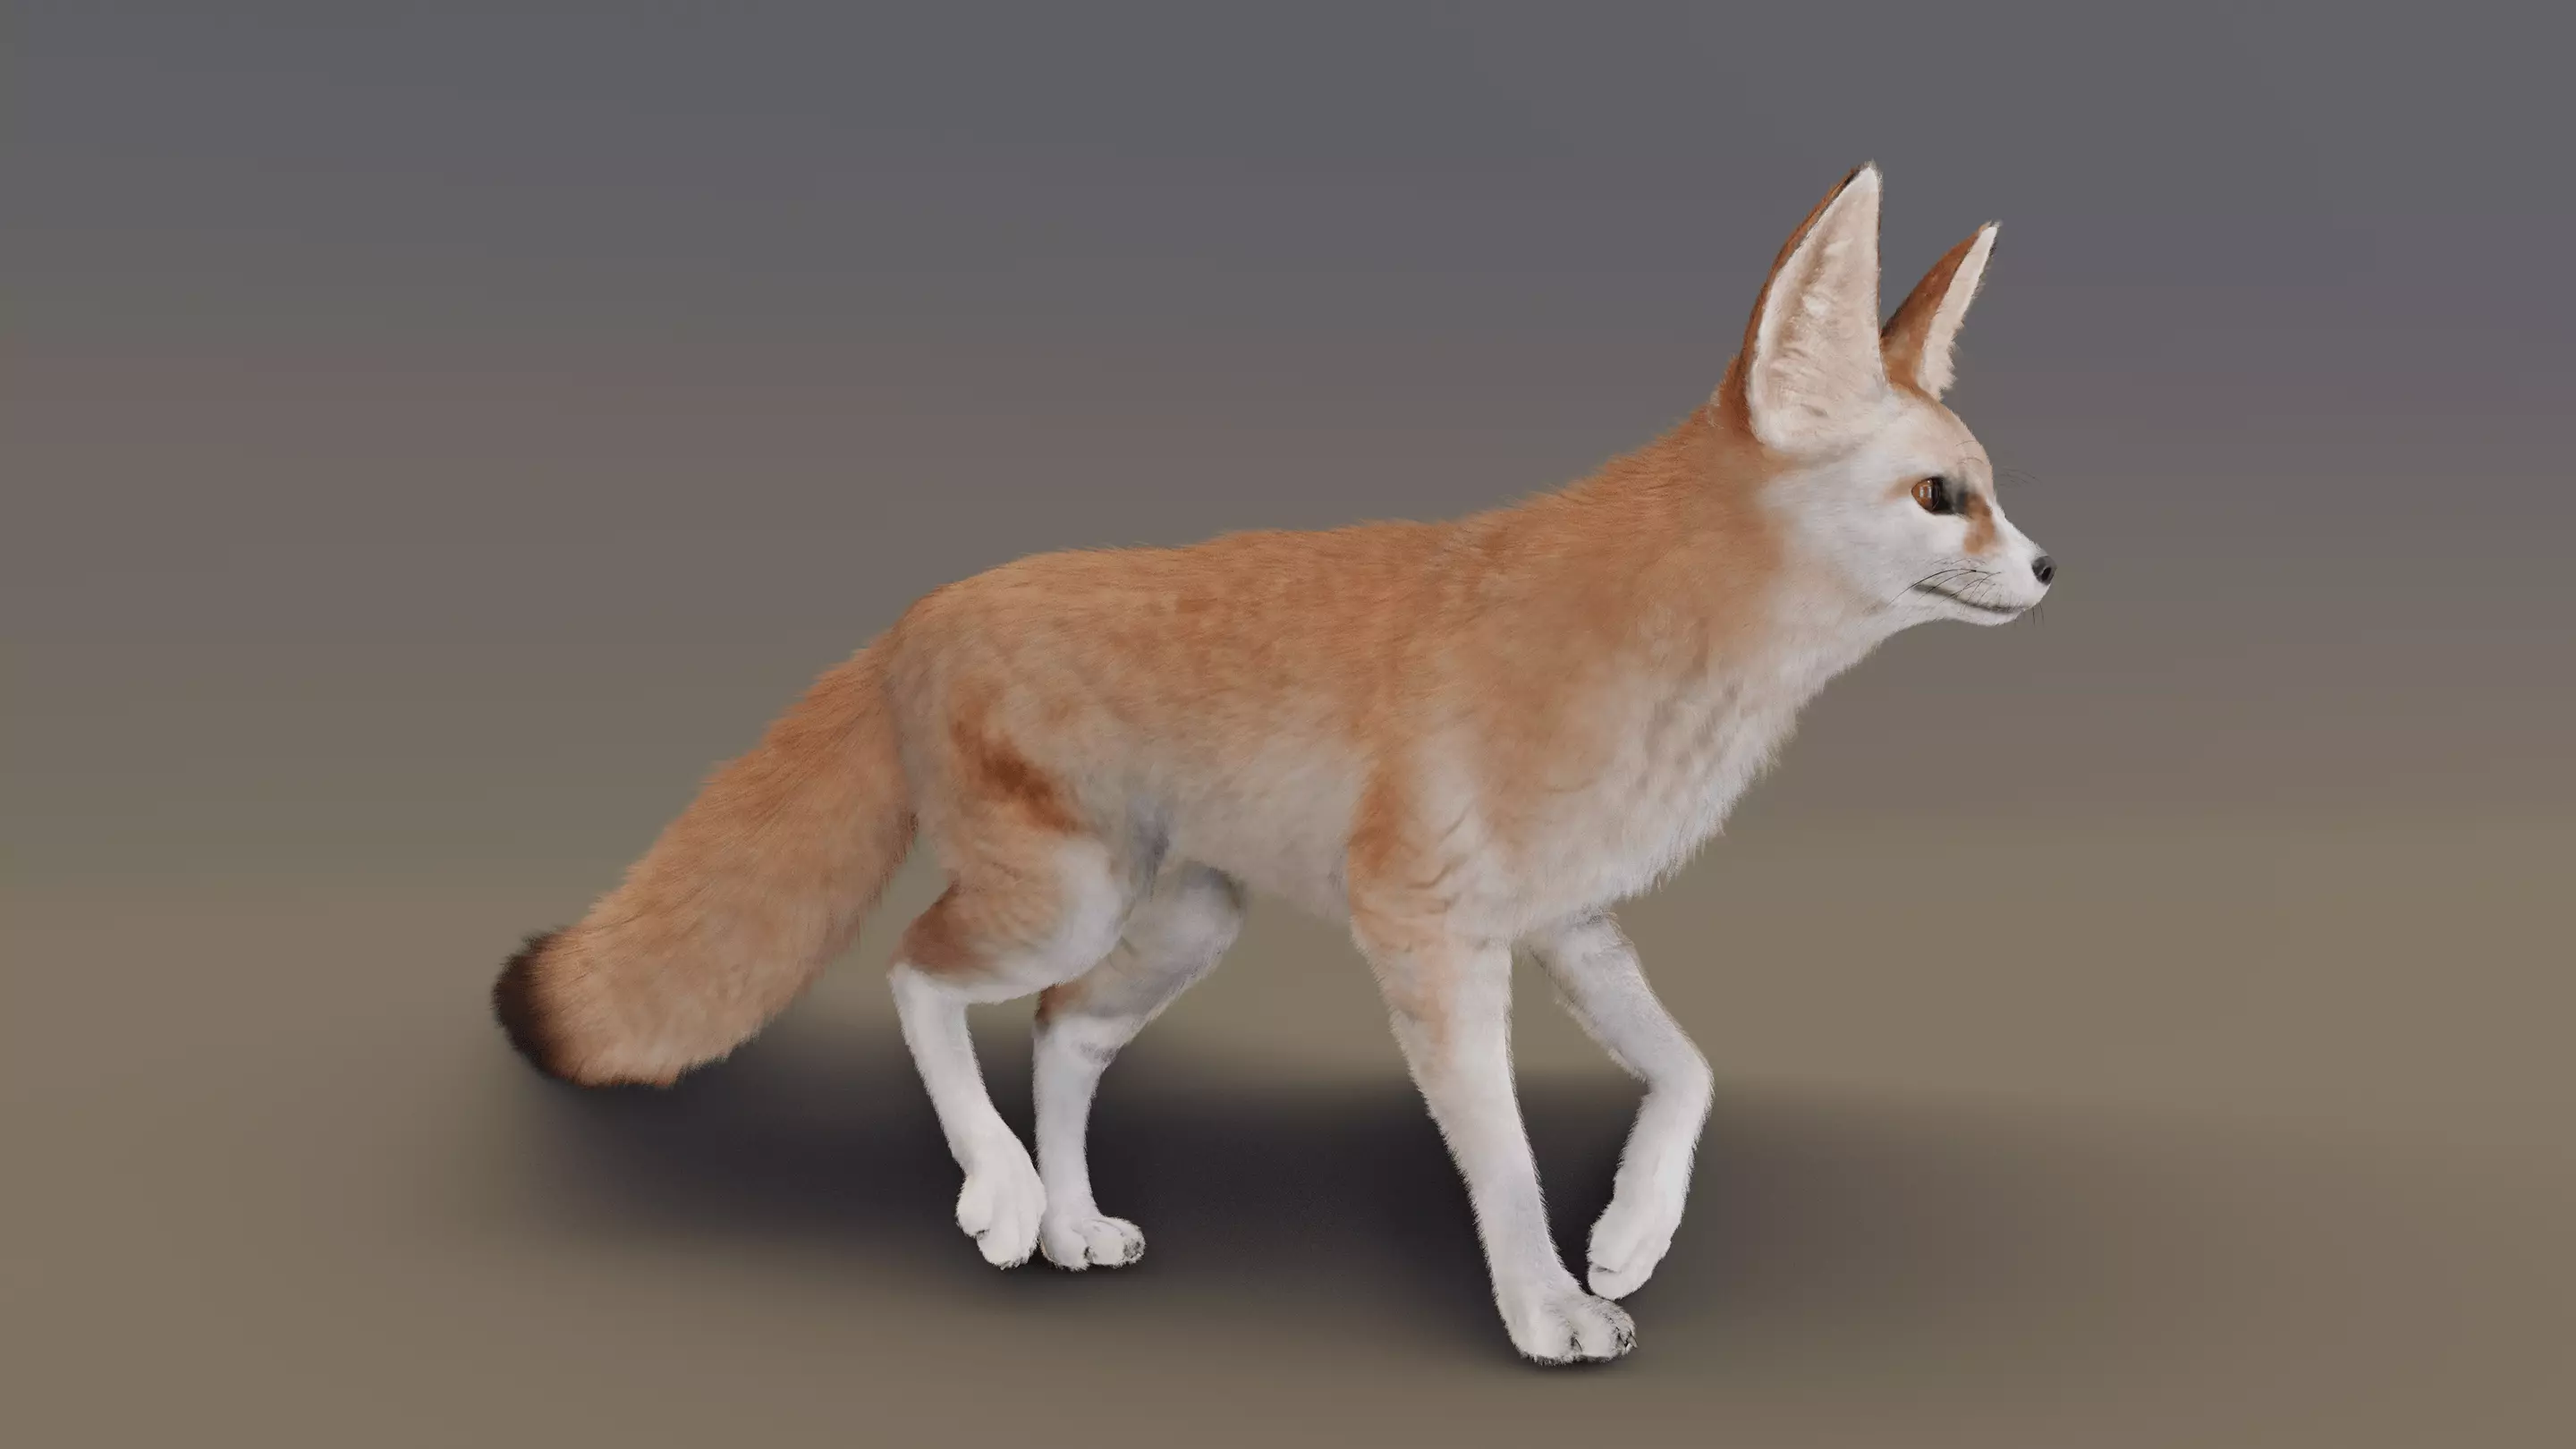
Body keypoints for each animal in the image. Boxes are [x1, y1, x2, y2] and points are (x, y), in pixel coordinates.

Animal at [492, 163, 2054, 1363]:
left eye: (1991, 493)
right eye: (1944, 497)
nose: (2050, 566)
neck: (1654, 643)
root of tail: (911, 616)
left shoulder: (1568, 923)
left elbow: (1691, 1076)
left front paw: (1630, 1237)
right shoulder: (1429, 935)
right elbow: (1500, 1154)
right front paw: (1547, 1308)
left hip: (1184, 924)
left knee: (1060, 1032)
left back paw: (1071, 1220)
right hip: (1064, 903)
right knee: (918, 977)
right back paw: (1001, 1197)